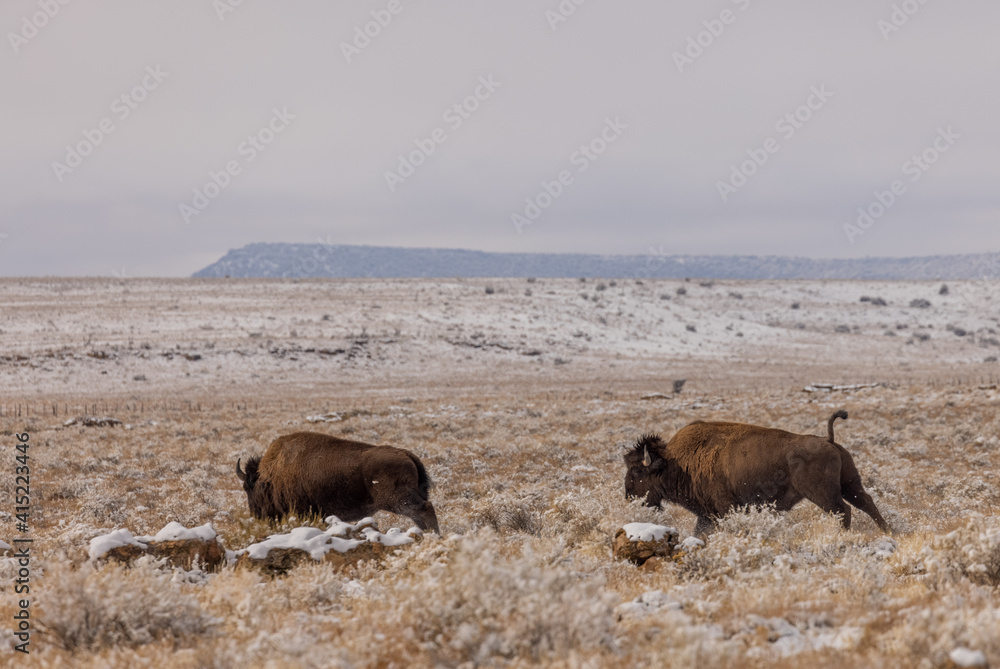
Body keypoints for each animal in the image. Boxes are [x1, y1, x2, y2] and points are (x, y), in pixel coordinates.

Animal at [236, 432, 440, 533]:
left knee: (425, 509)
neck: (271, 475)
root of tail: (407, 454)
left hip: (399, 500)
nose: (255, 515)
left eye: (248, 489)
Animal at [623, 410, 890, 536]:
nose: (628, 497)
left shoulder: (725, 507)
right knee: (866, 503)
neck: (674, 461)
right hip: (850, 484)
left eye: (636, 472)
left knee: (844, 511)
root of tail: (828, 440)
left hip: (822, 494)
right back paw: (890, 532)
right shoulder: (708, 514)